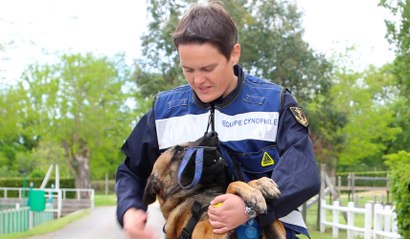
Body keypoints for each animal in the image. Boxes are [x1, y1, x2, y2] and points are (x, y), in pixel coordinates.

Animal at [143, 133, 286, 239]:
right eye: (179, 150)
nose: (213, 134)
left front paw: (260, 184)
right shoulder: (205, 232)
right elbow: (231, 185)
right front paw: (251, 192)